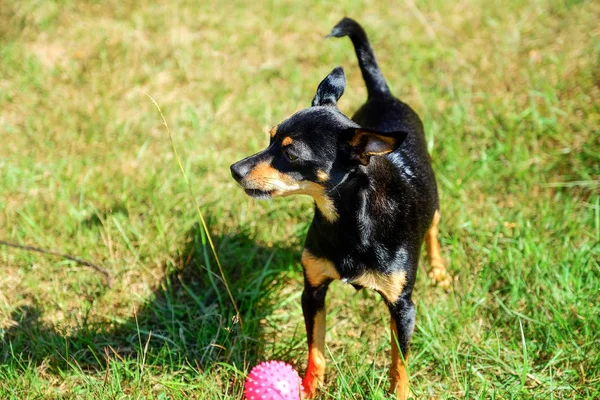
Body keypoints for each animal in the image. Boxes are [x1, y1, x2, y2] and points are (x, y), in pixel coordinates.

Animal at [232, 16, 448, 400]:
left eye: (291, 154)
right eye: (270, 137)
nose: (234, 170)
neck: (348, 220)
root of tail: (383, 95)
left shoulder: (403, 307)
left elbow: (400, 363)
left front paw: (399, 392)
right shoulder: (312, 291)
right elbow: (315, 349)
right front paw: (308, 388)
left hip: (434, 201)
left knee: (434, 228)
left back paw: (438, 268)